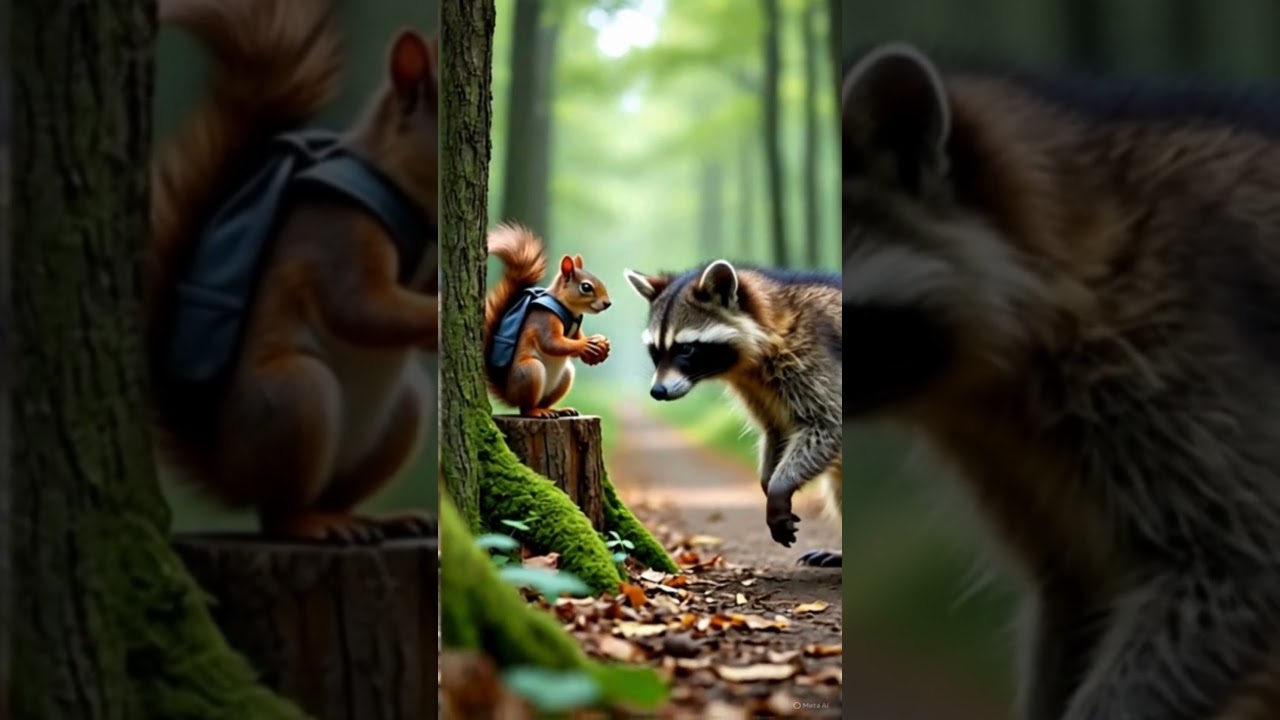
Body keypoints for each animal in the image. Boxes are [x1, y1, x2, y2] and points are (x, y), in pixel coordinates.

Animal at [147, 0, 440, 543]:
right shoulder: (337, 232)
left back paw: (377, 519)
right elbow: (359, 306)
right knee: (277, 514)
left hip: (402, 411)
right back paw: (315, 524)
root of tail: (228, 473)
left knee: (336, 495)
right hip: (295, 396)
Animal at [481, 224, 612, 419]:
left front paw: (601, 344)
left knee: (545, 401)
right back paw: (537, 412)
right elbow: (552, 343)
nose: (607, 303)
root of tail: (510, 395)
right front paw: (586, 345)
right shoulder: (544, 320)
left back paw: (558, 410)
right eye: (586, 287)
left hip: (565, 376)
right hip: (530, 372)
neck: (570, 311)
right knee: (525, 408)